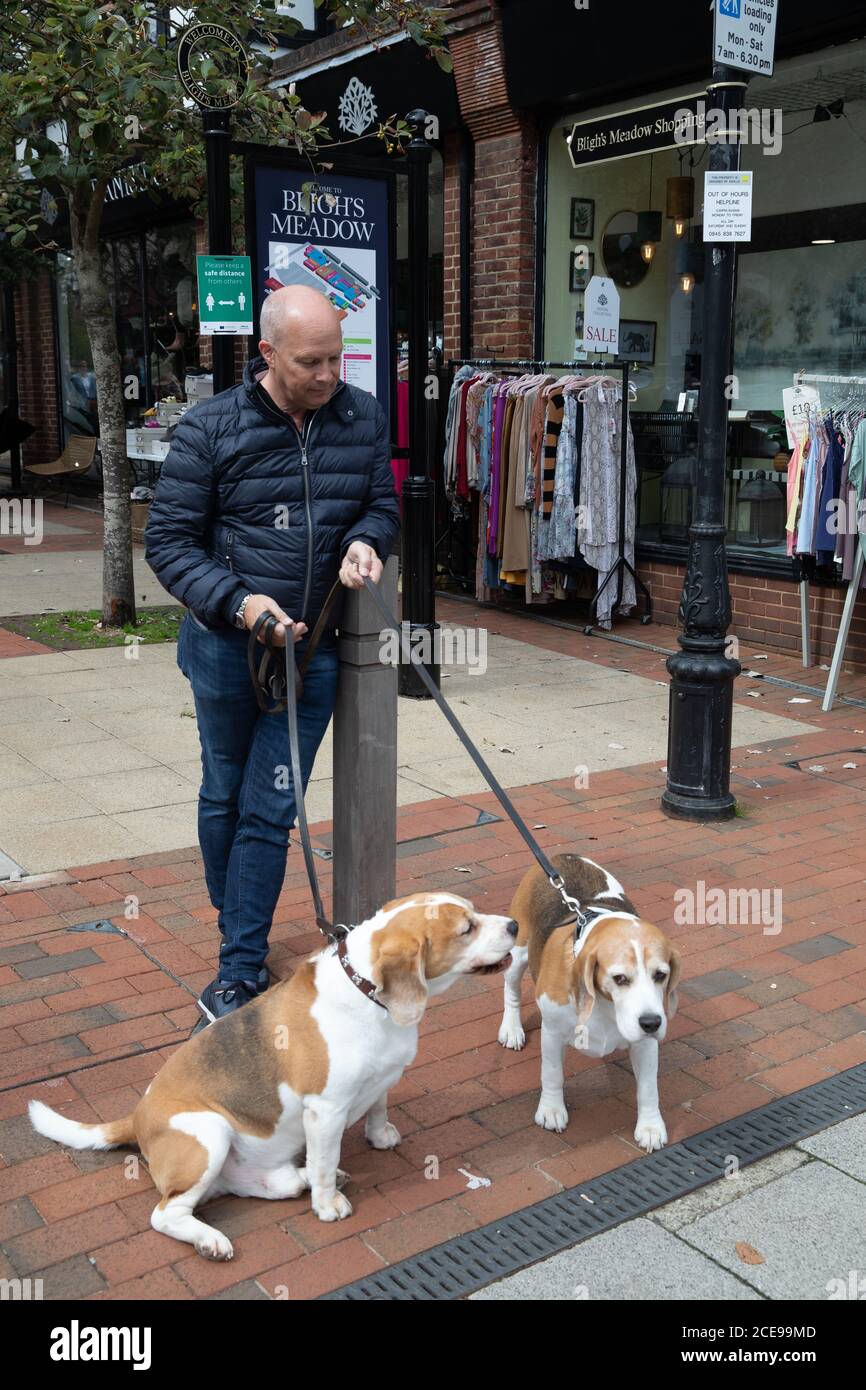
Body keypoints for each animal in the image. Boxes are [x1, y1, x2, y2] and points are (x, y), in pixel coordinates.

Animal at [30, 895, 517, 1267]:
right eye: (467, 928)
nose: (514, 924)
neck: (366, 992)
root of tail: (136, 1117)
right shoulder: (325, 1111)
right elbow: (325, 1158)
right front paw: (327, 1204)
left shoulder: (380, 1079)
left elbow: (378, 1106)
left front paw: (379, 1137)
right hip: (210, 1133)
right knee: (166, 1214)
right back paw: (213, 1239)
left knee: (261, 1185)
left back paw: (298, 1181)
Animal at [497, 850, 681, 1156]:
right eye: (619, 978)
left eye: (660, 975)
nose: (652, 1023)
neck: (606, 1006)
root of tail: (564, 855)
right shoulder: (552, 1032)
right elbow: (552, 1073)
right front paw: (551, 1110)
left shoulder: (645, 1043)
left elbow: (648, 1088)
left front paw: (650, 1127)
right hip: (519, 950)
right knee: (510, 989)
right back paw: (511, 1029)